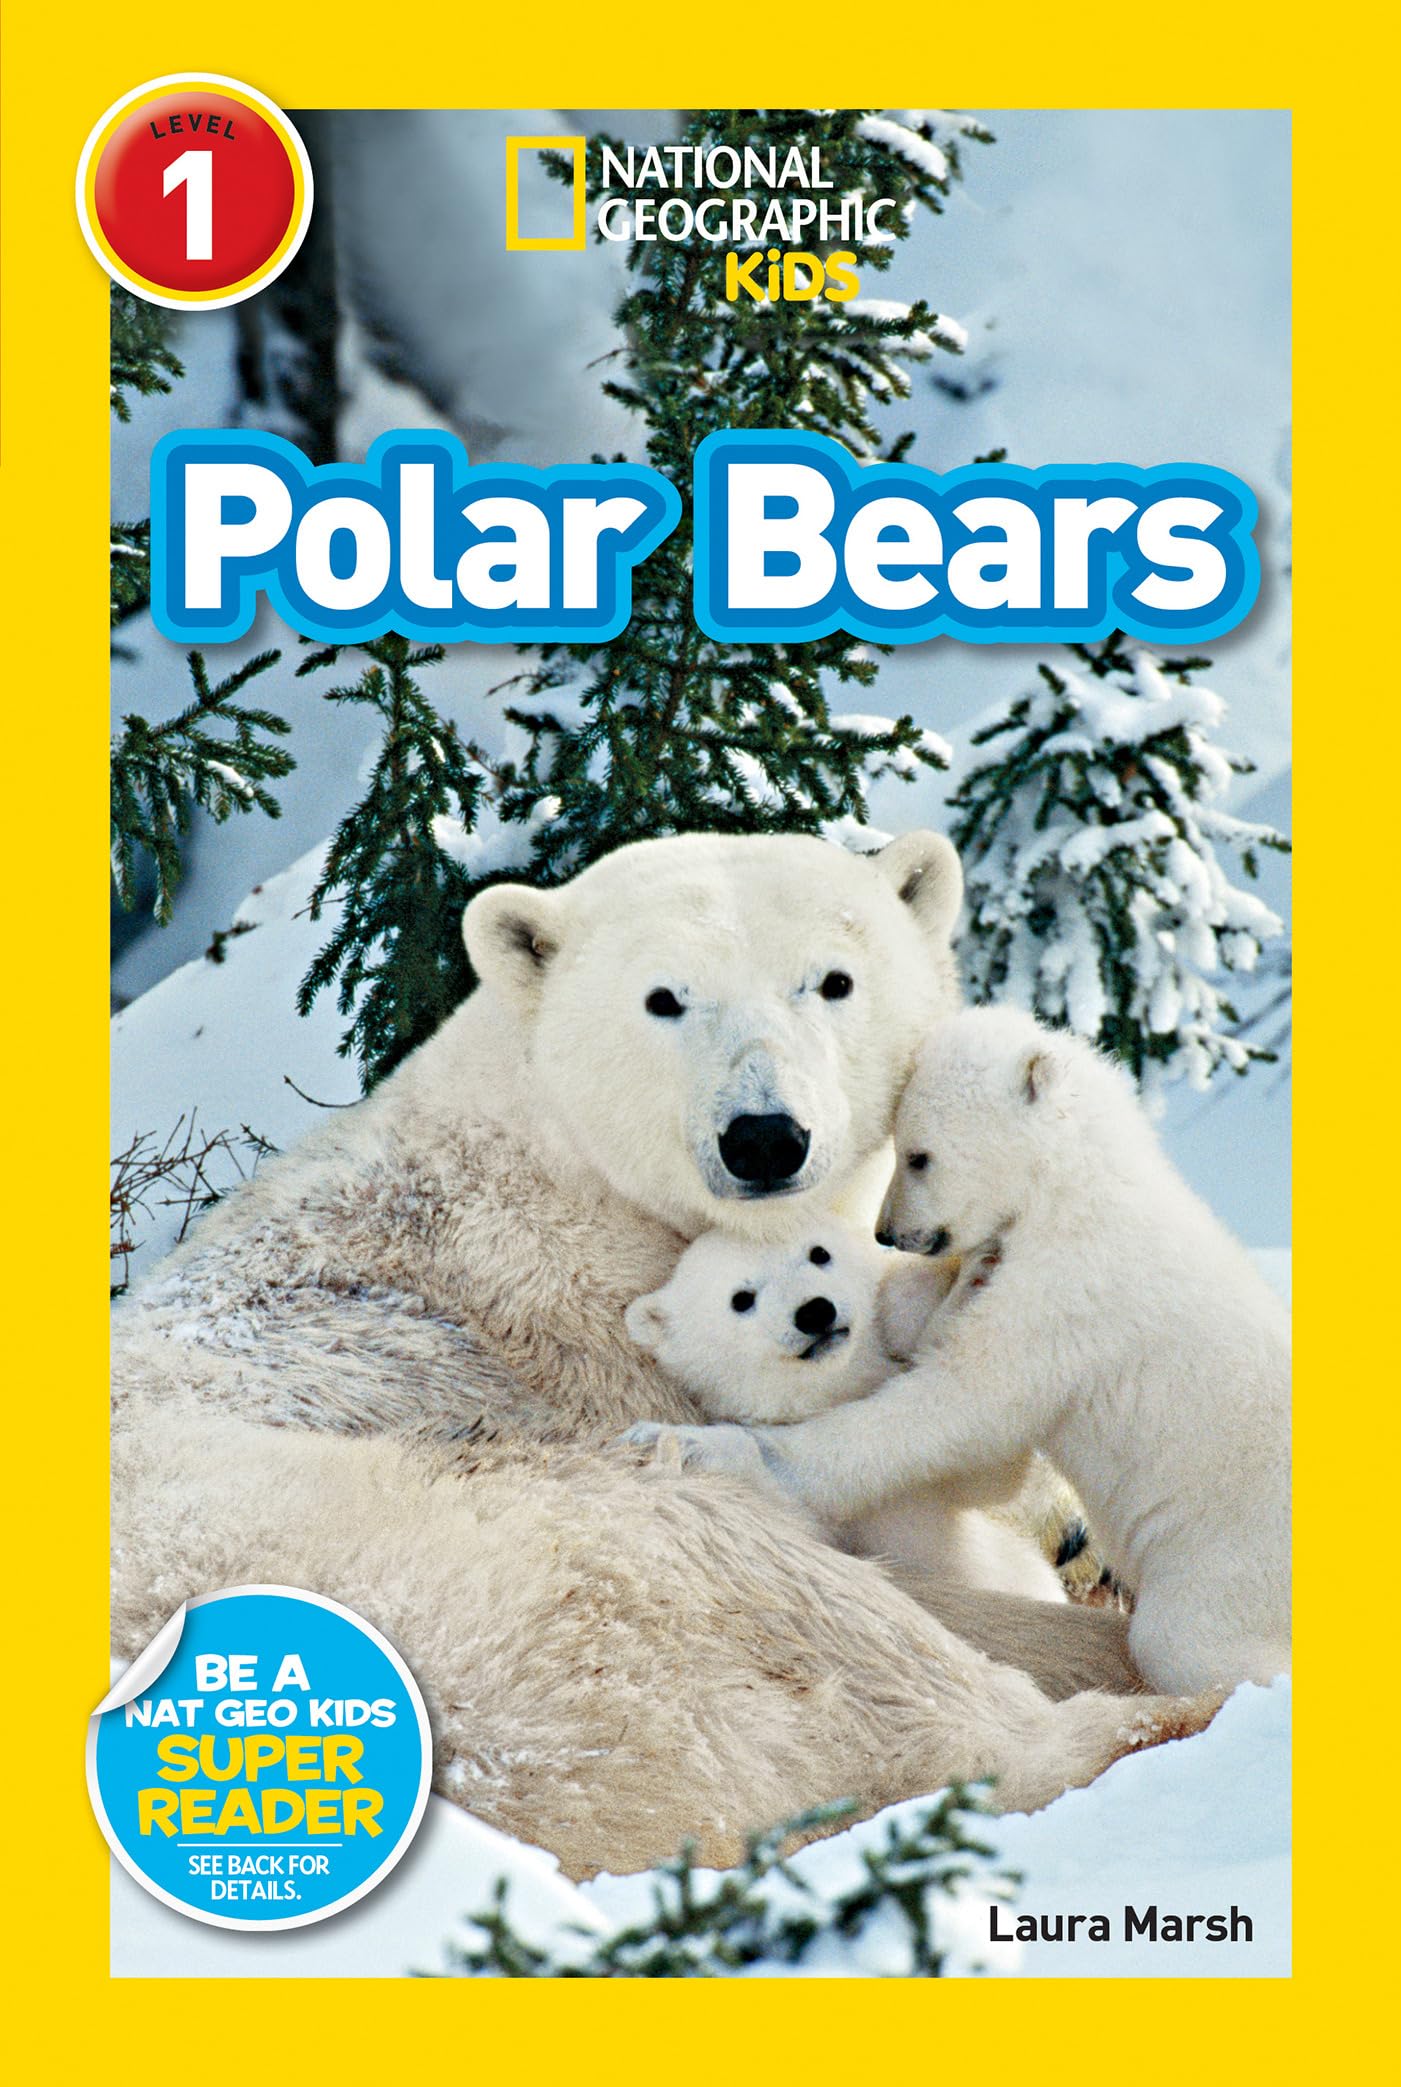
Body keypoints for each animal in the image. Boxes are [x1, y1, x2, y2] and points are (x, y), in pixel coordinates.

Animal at [623, 1221, 1067, 1605]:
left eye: (819, 1253)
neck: (832, 1391)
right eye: (742, 1299)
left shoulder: (938, 1493)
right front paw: (674, 1442)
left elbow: (987, 1477)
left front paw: (971, 1282)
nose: (815, 1311)